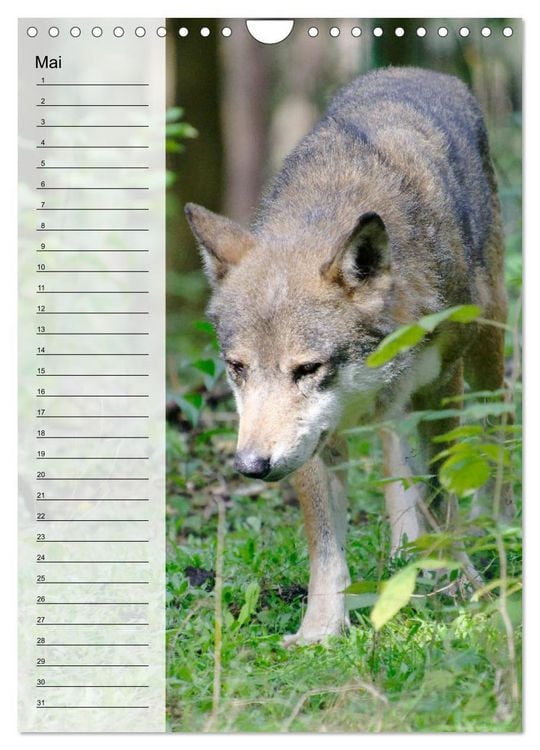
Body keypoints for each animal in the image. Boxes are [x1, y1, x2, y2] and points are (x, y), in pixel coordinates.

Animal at [185, 67, 512, 646]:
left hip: (484, 353)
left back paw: (496, 529)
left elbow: (440, 498)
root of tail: (418, 71)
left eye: (307, 369)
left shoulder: (438, 390)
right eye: (238, 368)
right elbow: (325, 545)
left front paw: (451, 587)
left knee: (496, 432)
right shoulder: (309, 441)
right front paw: (320, 631)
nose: (250, 465)